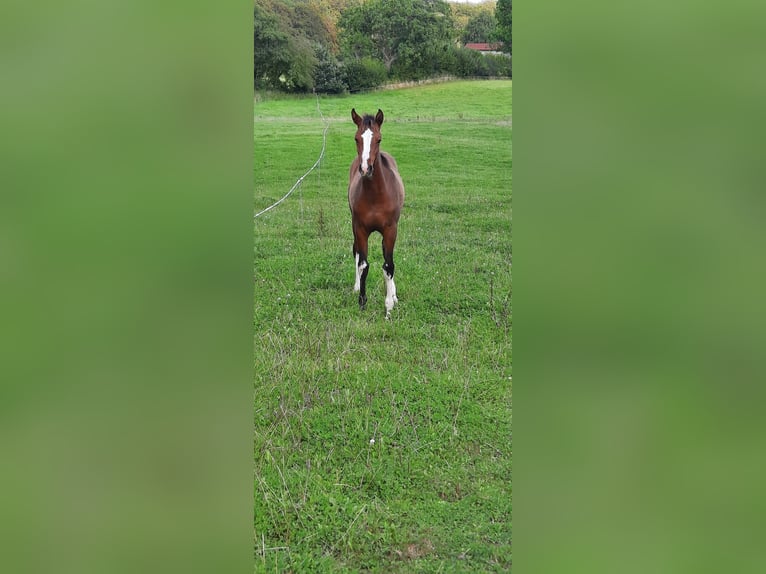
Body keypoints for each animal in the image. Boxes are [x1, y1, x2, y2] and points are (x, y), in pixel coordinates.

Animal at [350, 108, 404, 320]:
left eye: (379, 139)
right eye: (357, 138)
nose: (366, 168)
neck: (375, 196)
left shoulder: (390, 230)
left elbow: (388, 266)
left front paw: (388, 308)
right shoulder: (360, 229)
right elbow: (363, 264)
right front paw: (362, 302)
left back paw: (394, 295)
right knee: (356, 253)